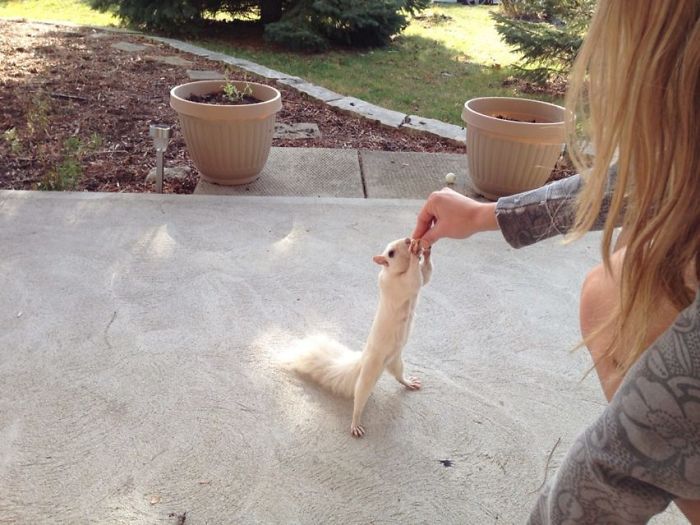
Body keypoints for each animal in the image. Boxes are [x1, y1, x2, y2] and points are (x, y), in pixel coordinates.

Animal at [282, 238, 432, 438]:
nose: (409, 240)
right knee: (359, 399)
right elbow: (415, 279)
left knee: (399, 377)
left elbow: (426, 275)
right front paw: (416, 253)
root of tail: (362, 361)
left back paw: (409, 382)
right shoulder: (399, 284)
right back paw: (355, 423)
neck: (395, 271)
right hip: (368, 377)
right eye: (391, 253)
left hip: (396, 362)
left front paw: (426, 250)